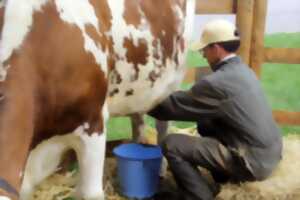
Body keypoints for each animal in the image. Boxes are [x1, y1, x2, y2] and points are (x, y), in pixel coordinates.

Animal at [0, 0, 196, 199]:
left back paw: (162, 167)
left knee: (163, 126)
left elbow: (91, 193)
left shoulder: (94, 124)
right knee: (138, 120)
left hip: (172, 84)